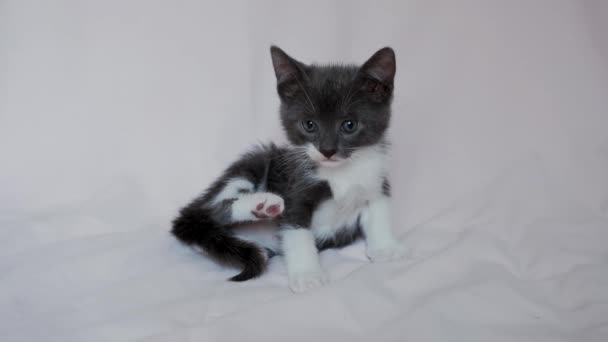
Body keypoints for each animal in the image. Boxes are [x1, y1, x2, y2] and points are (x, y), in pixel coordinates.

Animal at [172, 44, 408, 292]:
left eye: (349, 125)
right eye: (309, 124)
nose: (327, 150)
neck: (341, 172)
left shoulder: (377, 179)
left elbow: (379, 210)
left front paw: (386, 247)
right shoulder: (296, 186)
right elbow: (297, 230)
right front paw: (307, 275)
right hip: (255, 161)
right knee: (207, 211)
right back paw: (262, 203)